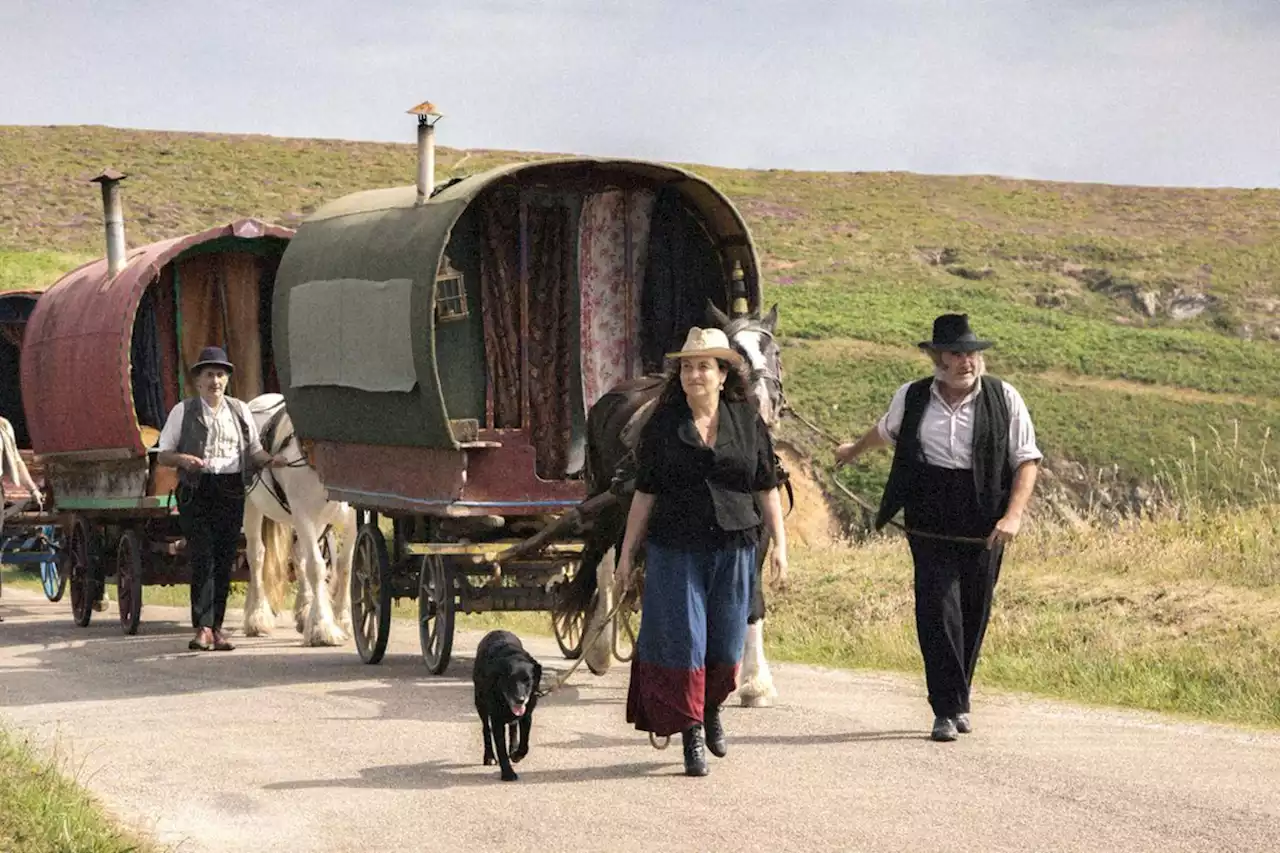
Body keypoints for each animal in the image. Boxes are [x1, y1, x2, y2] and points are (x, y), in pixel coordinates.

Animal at [240, 391, 358, 645]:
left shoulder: (353, 518)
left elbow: (345, 566)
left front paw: (343, 620)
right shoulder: (303, 514)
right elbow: (317, 567)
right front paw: (323, 627)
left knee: (299, 556)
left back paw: (304, 610)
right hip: (253, 506)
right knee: (257, 555)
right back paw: (257, 617)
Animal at [476, 627, 545, 778]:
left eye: (528, 680)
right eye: (509, 680)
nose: (520, 699)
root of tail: (497, 630)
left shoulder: (527, 715)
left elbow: (524, 744)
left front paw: (516, 755)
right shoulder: (496, 719)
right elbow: (500, 748)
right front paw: (508, 773)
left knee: (513, 728)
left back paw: (513, 748)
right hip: (480, 703)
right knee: (486, 729)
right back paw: (489, 757)